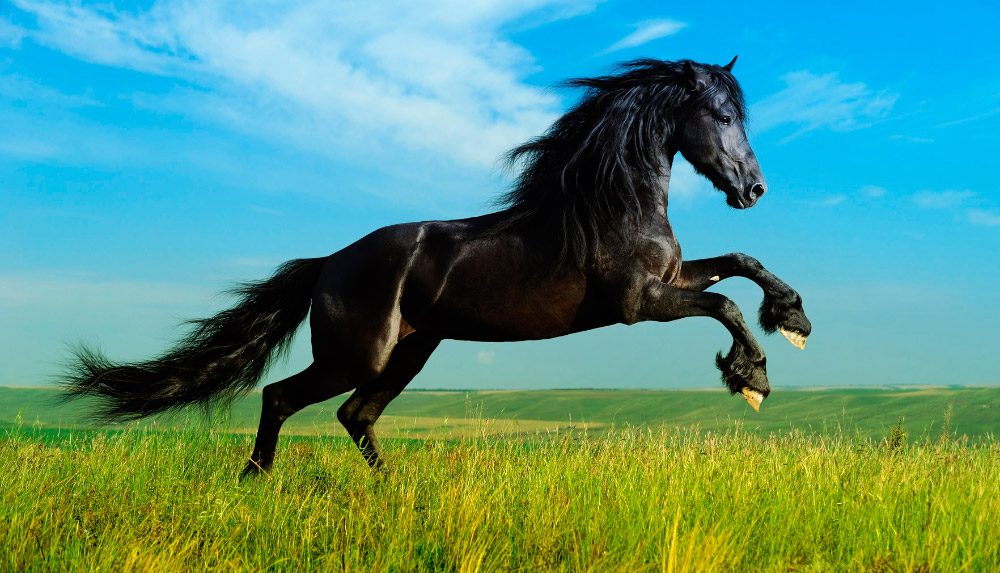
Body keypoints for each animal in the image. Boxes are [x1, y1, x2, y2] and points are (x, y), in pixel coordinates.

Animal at [62, 57, 812, 477]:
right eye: (722, 115)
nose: (754, 189)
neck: (612, 204)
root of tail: (328, 263)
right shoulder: (638, 302)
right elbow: (725, 304)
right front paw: (752, 377)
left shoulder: (672, 279)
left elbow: (741, 263)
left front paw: (794, 319)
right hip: (357, 354)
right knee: (283, 397)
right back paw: (254, 482)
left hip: (411, 352)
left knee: (355, 415)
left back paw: (392, 492)